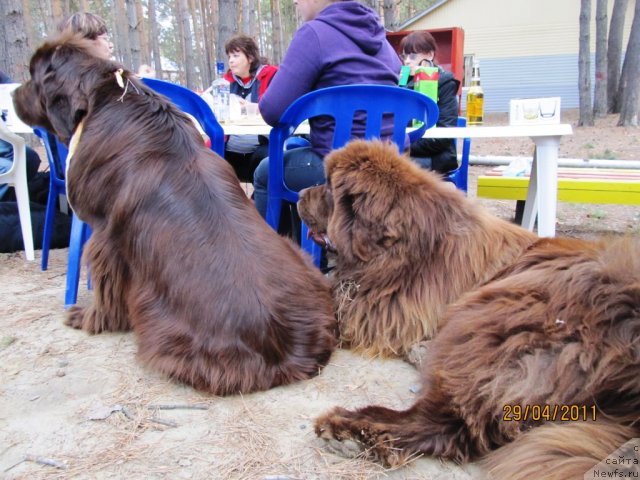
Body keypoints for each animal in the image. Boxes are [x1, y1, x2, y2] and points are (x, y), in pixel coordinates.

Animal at [12, 35, 338, 396]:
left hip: (169, 337)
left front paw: (85, 317)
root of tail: (289, 347)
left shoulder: (104, 238)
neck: (106, 98)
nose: (11, 94)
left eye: (33, 75)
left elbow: (105, 289)